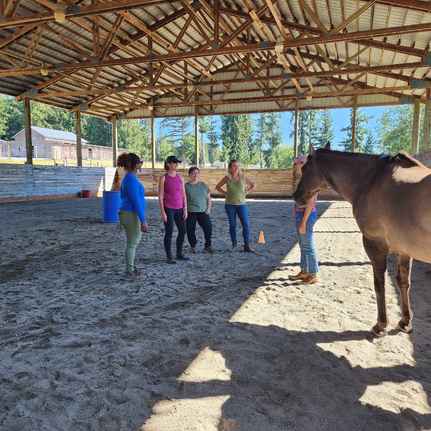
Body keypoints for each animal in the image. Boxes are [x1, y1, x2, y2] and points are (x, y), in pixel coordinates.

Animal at [294, 145, 431, 338]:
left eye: (305, 168)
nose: (296, 196)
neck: (370, 181)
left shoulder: (374, 244)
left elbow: (379, 284)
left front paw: (380, 325)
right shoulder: (404, 250)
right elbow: (403, 282)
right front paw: (405, 322)